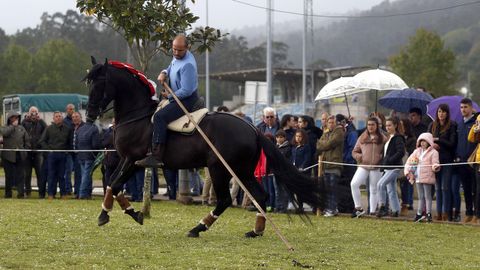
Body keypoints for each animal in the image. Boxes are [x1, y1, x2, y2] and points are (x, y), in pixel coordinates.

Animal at [85, 57, 322, 238]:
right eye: (89, 83)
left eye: (100, 84)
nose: (89, 115)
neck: (137, 115)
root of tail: (253, 129)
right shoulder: (125, 159)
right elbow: (111, 183)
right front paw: (127, 212)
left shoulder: (134, 160)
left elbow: (115, 184)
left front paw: (109, 215)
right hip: (242, 171)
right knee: (260, 196)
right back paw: (255, 231)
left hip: (220, 169)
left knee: (225, 200)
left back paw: (198, 228)